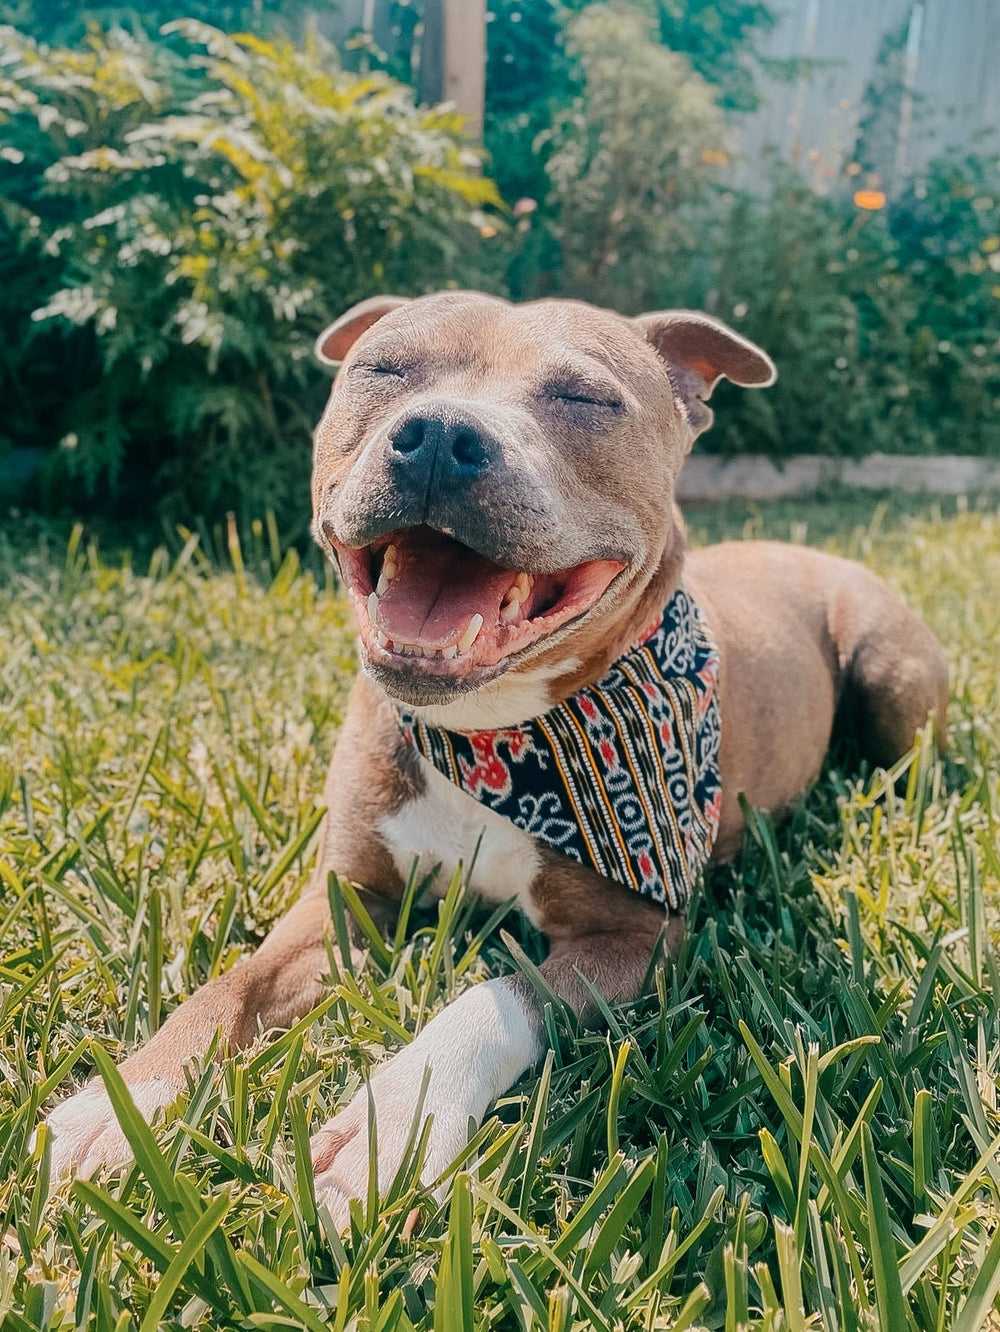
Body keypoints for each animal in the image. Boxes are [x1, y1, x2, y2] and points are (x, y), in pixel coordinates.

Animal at [42, 289, 948, 1220]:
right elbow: (236, 981)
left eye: (587, 398)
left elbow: (500, 992)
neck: (489, 740)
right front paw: (129, 1100)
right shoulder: (347, 897)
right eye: (383, 368)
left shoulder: (637, 939)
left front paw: (394, 1125)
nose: (441, 434)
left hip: (889, 674)